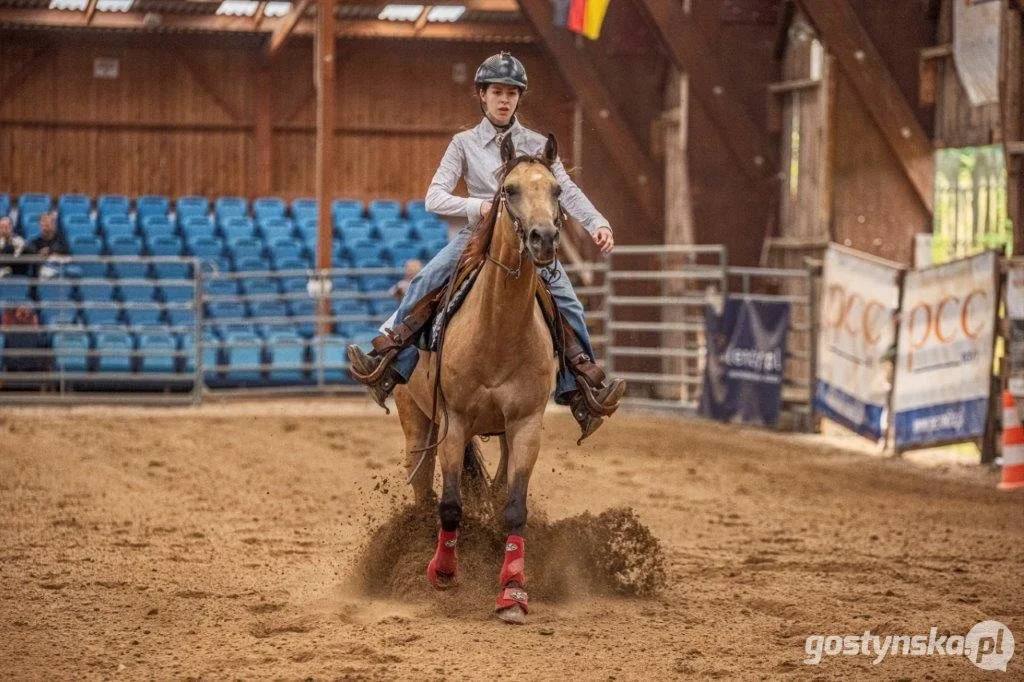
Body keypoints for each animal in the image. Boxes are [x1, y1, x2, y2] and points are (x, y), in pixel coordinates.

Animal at [393, 130, 569, 622]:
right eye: (509, 190)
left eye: (557, 190)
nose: (543, 238)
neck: (497, 330)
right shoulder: (453, 422)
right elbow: (451, 506)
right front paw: (443, 573)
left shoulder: (526, 425)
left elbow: (514, 507)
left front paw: (512, 591)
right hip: (416, 422)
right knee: (422, 488)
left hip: (504, 432)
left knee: (494, 486)